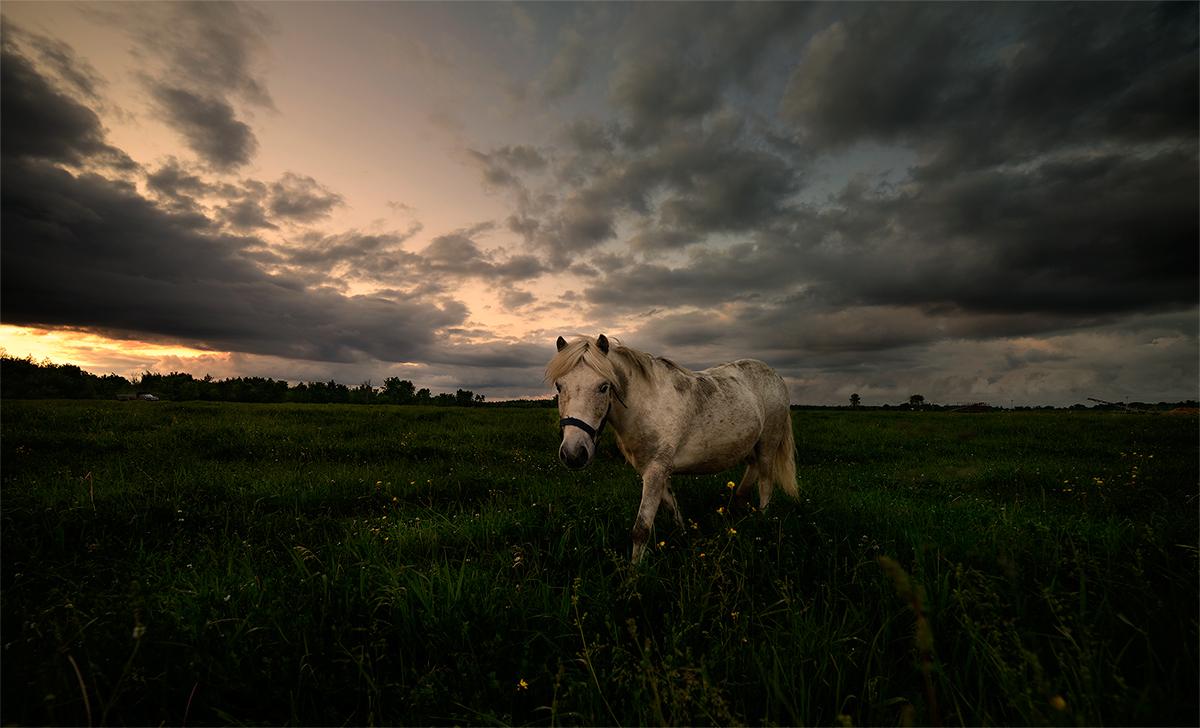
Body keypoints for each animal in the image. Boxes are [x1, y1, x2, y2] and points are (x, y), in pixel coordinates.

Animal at [545, 334, 798, 562]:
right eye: (559, 386)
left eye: (603, 387)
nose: (573, 454)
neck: (646, 405)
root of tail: (775, 375)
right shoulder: (655, 471)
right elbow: (672, 508)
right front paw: (685, 538)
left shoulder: (655, 471)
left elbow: (641, 530)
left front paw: (633, 576)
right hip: (751, 446)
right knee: (752, 471)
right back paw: (736, 505)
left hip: (768, 445)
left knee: (765, 483)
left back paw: (762, 520)